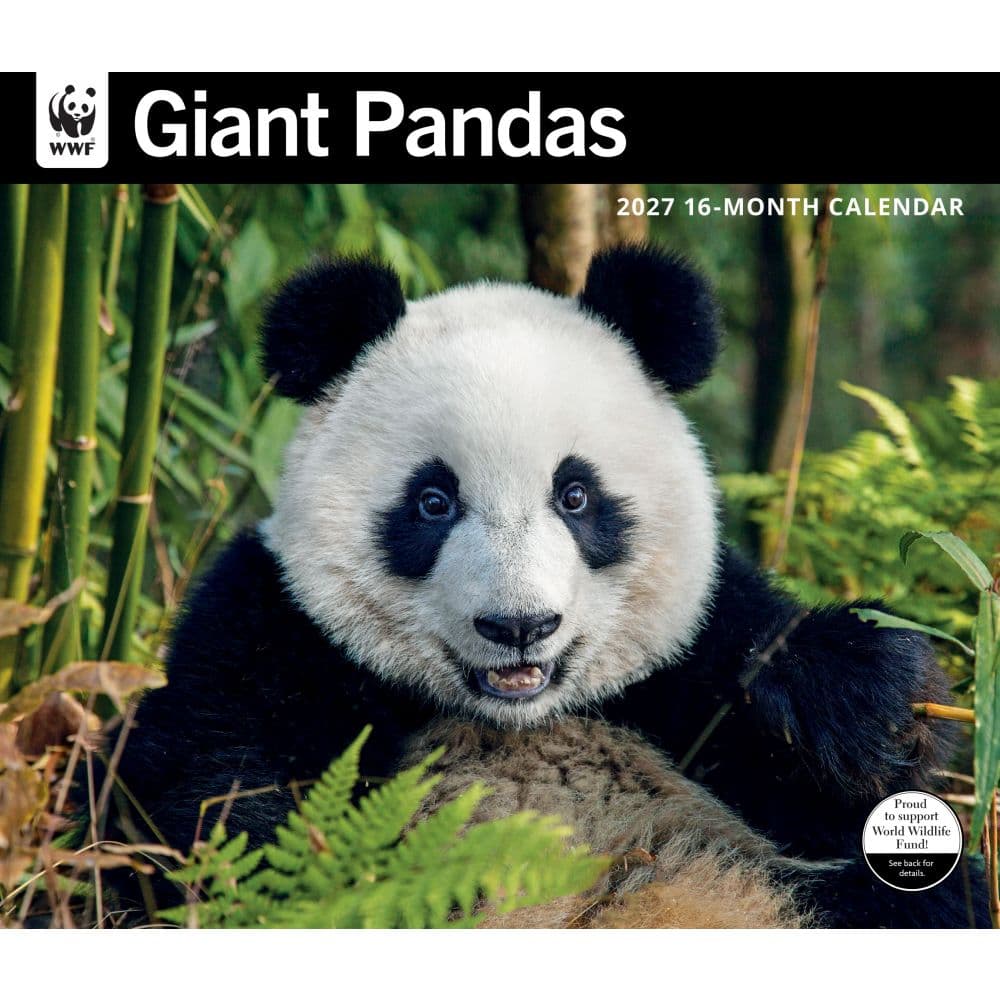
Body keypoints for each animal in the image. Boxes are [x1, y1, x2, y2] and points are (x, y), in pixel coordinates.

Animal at [117, 244, 988, 928]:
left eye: (575, 495)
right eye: (433, 502)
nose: (519, 626)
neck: (516, 719)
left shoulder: (688, 661)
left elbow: (838, 784)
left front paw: (858, 700)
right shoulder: (274, 628)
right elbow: (216, 801)